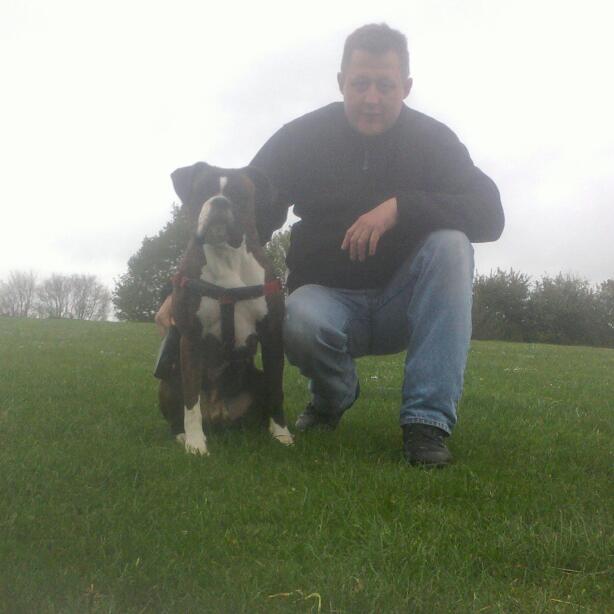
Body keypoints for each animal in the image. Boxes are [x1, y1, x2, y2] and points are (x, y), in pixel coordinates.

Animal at [158, 164, 294, 458]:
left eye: (239, 194)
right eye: (203, 190)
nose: (219, 202)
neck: (227, 256)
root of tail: (218, 412)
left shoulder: (272, 336)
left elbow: (277, 390)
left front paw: (282, 435)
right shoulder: (191, 338)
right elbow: (191, 399)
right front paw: (196, 443)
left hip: (256, 378)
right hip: (168, 378)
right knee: (179, 410)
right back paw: (181, 435)